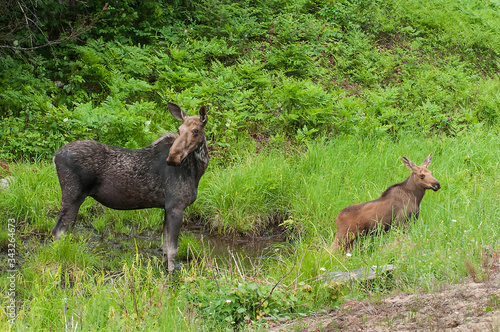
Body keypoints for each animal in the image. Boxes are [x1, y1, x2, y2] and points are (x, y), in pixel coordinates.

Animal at [50, 102, 207, 272]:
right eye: (179, 129)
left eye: (196, 130)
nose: (173, 157)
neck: (196, 171)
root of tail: (55, 156)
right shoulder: (176, 206)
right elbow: (172, 251)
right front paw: (171, 274)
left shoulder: (167, 208)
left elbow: (165, 248)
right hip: (73, 196)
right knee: (59, 231)